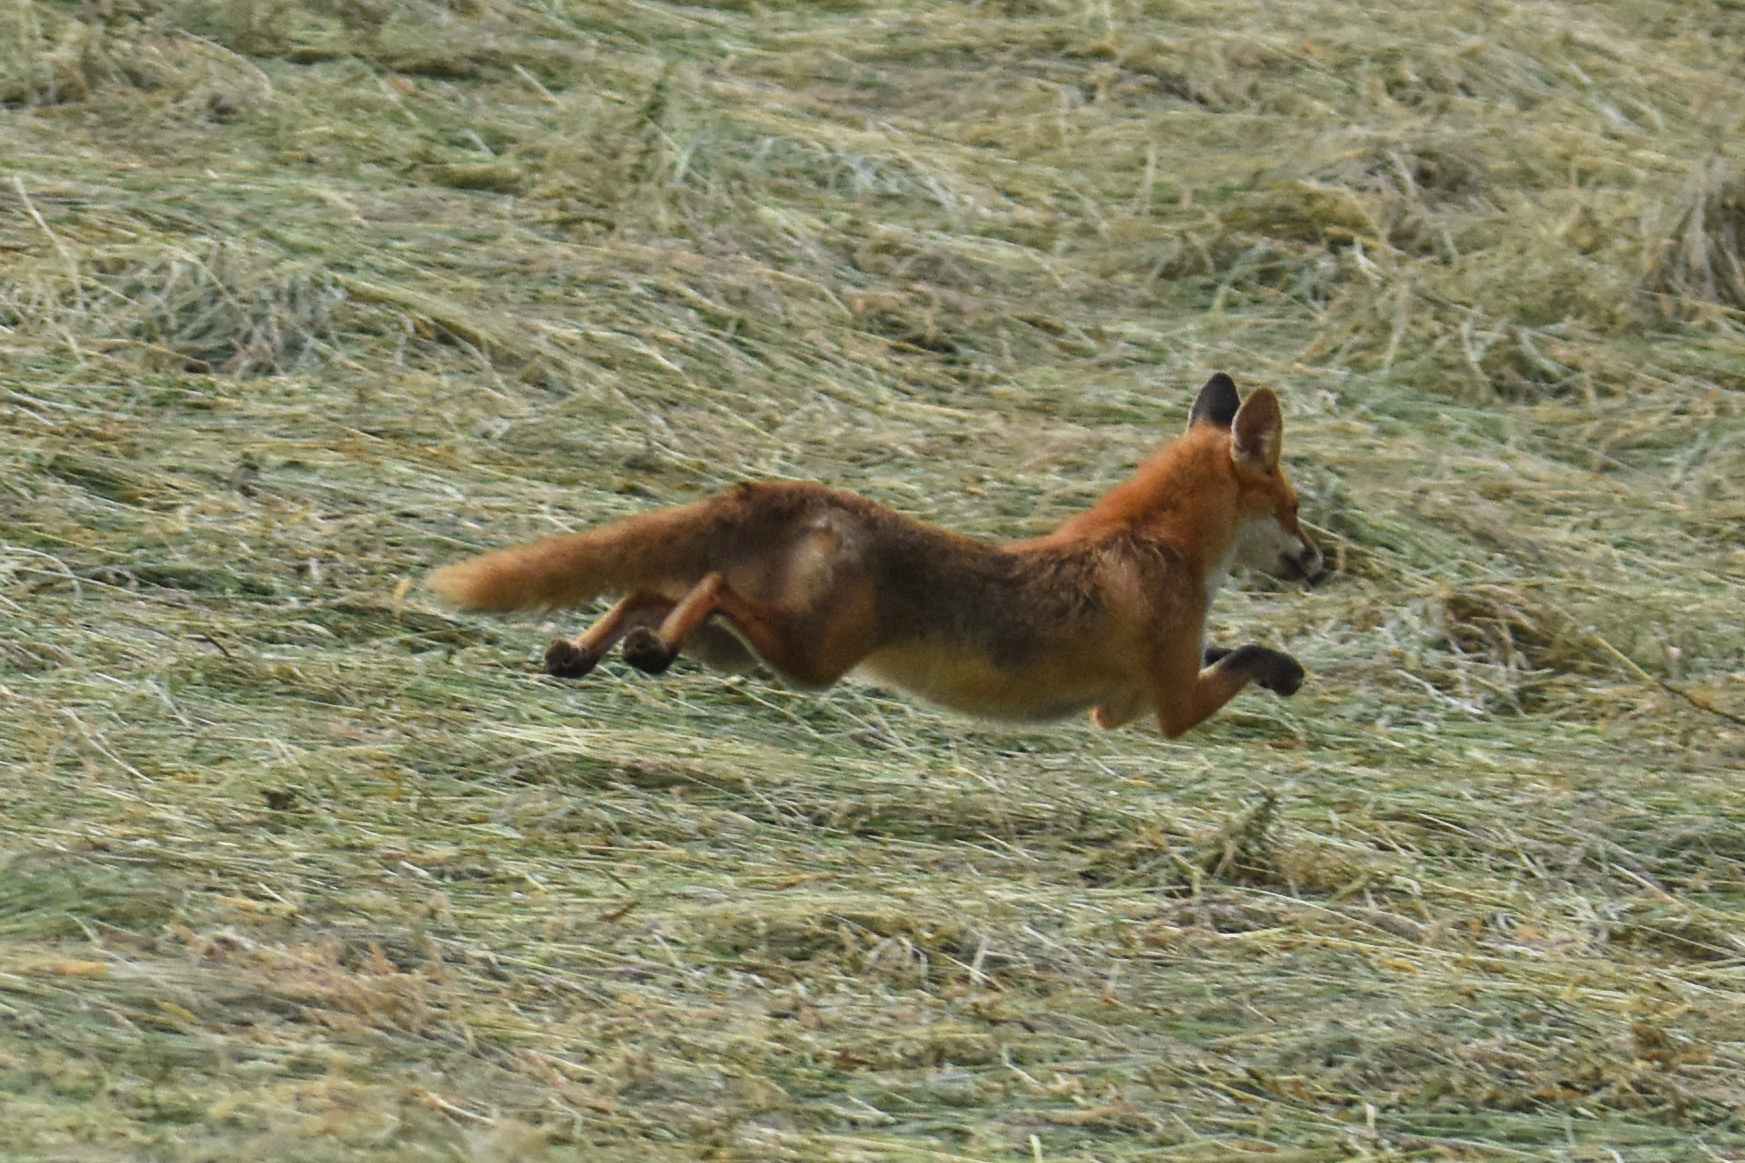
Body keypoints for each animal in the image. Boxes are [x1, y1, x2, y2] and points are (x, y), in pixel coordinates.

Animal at [429, 373, 1324, 738]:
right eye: (1294, 508)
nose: (1320, 563)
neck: (1153, 544)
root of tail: (809, 493)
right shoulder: (1161, 709)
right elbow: (1239, 654)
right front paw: (1282, 668)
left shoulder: (1129, 702)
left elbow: (1222, 646)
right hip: (808, 657)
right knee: (703, 584)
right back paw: (639, 651)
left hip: (745, 652)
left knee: (651, 587)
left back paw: (587, 652)